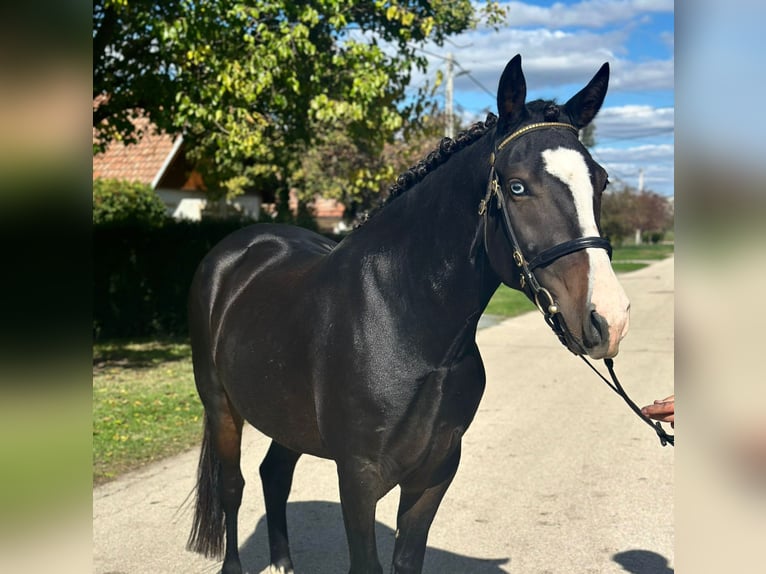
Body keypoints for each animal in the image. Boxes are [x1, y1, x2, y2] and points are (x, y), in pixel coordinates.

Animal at [188, 55, 632, 574]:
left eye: (600, 180)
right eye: (518, 186)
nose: (608, 318)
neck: (408, 330)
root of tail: (237, 250)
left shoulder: (434, 474)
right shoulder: (358, 479)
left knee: (274, 474)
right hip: (221, 405)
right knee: (232, 488)